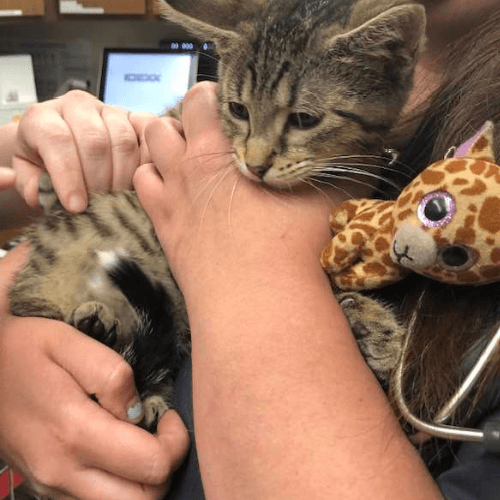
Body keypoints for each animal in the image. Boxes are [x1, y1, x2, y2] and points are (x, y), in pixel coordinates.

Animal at [8, 0, 422, 430]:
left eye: (305, 119)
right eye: (238, 109)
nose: (255, 165)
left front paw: (376, 330)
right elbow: (140, 131)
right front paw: (52, 180)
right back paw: (96, 327)